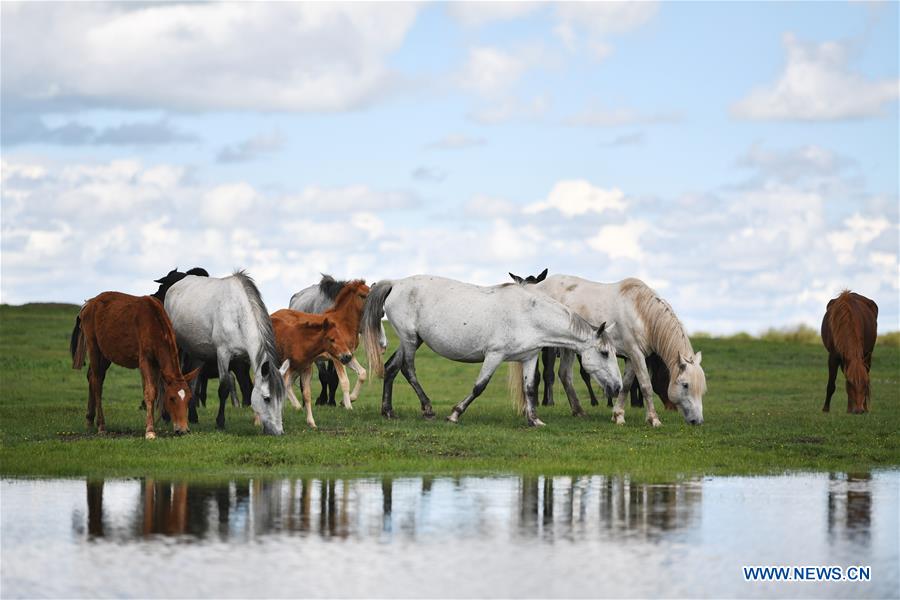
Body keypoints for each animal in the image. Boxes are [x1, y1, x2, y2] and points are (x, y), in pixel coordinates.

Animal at [69, 292, 201, 439]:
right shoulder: (144, 360)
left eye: (189, 398)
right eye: (172, 398)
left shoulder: (156, 364)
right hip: (93, 347)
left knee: (92, 377)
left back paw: (89, 420)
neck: (153, 323)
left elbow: (154, 392)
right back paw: (101, 426)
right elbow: (150, 391)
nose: (183, 429)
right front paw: (150, 430)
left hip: (105, 353)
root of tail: (88, 304)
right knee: (96, 381)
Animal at [163, 271, 289, 435]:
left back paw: (193, 417)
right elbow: (224, 388)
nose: (278, 432)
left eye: (282, 399)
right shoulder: (223, 354)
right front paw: (220, 423)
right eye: (266, 398)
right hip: (176, 346)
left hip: (197, 354)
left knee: (192, 382)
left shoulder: (243, 361)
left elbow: (247, 387)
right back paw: (166, 417)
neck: (238, 314)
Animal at [289, 275, 387, 406]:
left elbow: (359, 374)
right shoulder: (333, 357)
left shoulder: (347, 355)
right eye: (362, 295)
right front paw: (329, 401)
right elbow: (334, 378)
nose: (383, 345)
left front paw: (344, 400)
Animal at [360, 275, 622, 426]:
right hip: (409, 339)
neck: (528, 314)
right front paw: (455, 414)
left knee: (391, 368)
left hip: (414, 340)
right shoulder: (494, 355)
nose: (618, 387)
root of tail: (395, 284)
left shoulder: (529, 357)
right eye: (604, 353)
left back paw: (388, 411)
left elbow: (529, 388)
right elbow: (479, 387)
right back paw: (427, 408)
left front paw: (534, 419)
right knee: (407, 369)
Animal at [534, 275, 706, 426]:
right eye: (685, 385)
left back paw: (578, 411)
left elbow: (627, 385)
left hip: (568, 348)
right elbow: (645, 385)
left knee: (565, 374)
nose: (697, 421)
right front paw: (653, 419)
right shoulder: (636, 354)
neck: (641, 314)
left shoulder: (632, 357)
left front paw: (618, 416)